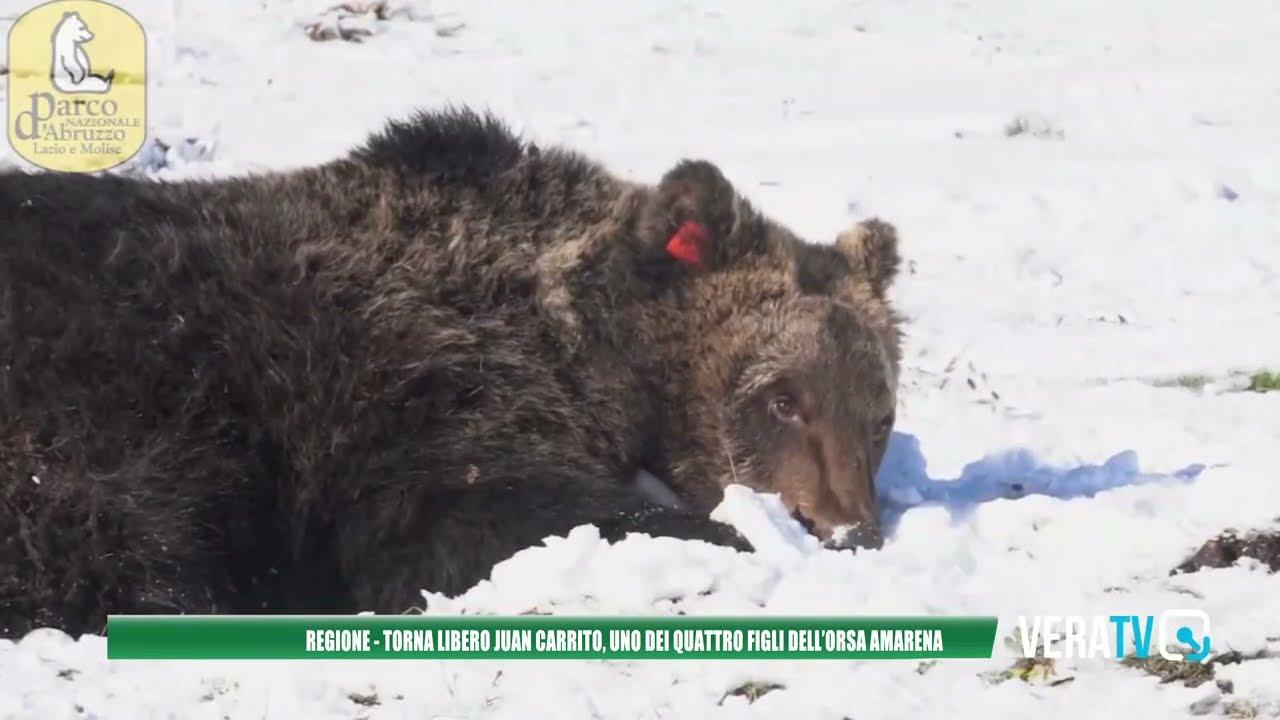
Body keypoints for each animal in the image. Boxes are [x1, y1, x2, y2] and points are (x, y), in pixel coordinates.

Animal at [0, 106, 901, 632]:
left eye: (880, 414)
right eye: (781, 398)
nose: (847, 529)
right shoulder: (420, 383)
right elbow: (469, 514)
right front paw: (720, 536)